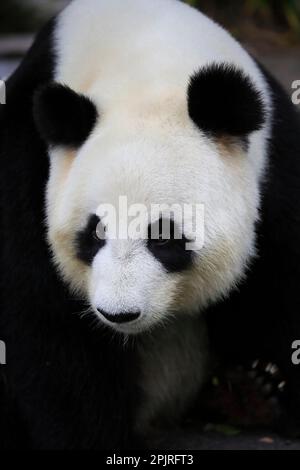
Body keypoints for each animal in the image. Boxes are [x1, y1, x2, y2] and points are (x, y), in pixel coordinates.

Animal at [0, 0, 300, 450]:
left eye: (164, 237)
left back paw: (249, 395)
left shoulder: (274, 168)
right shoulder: (26, 163)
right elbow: (47, 318)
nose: (119, 314)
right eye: (95, 233)